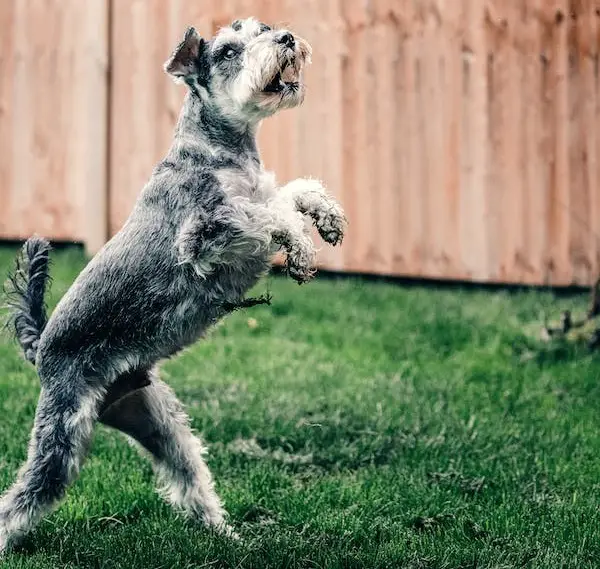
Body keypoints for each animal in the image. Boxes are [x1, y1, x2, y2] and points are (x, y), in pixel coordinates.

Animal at [0, 15, 346, 552]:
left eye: (262, 27)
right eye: (227, 51)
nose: (285, 38)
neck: (220, 150)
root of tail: (41, 349)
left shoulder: (254, 195)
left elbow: (289, 192)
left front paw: (326, 217)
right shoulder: (204, 233)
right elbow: (267, 215)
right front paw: (302, 245)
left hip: (156, 420)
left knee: (188, 479)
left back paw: (227, 535)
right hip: (60, 438)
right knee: (22, 499)